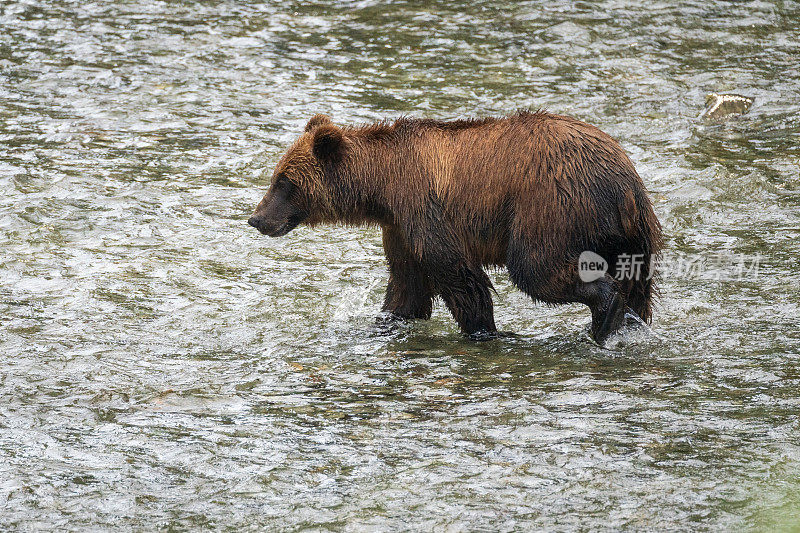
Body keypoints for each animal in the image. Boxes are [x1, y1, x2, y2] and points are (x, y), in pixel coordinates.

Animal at [250, 110, 664, 342]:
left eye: (285, 183)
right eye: (275, 177)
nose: (256, 218)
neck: (382, 186)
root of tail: (624, 181)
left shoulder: (425, 208)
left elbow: (459, 276)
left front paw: (482, 331)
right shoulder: (400, 229)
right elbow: (406, 287)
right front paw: (384, 322)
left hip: (549, 206)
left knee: (536, 268)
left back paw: (605, 316)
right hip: (634, 236)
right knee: (638, 286)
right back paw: (628, 323)